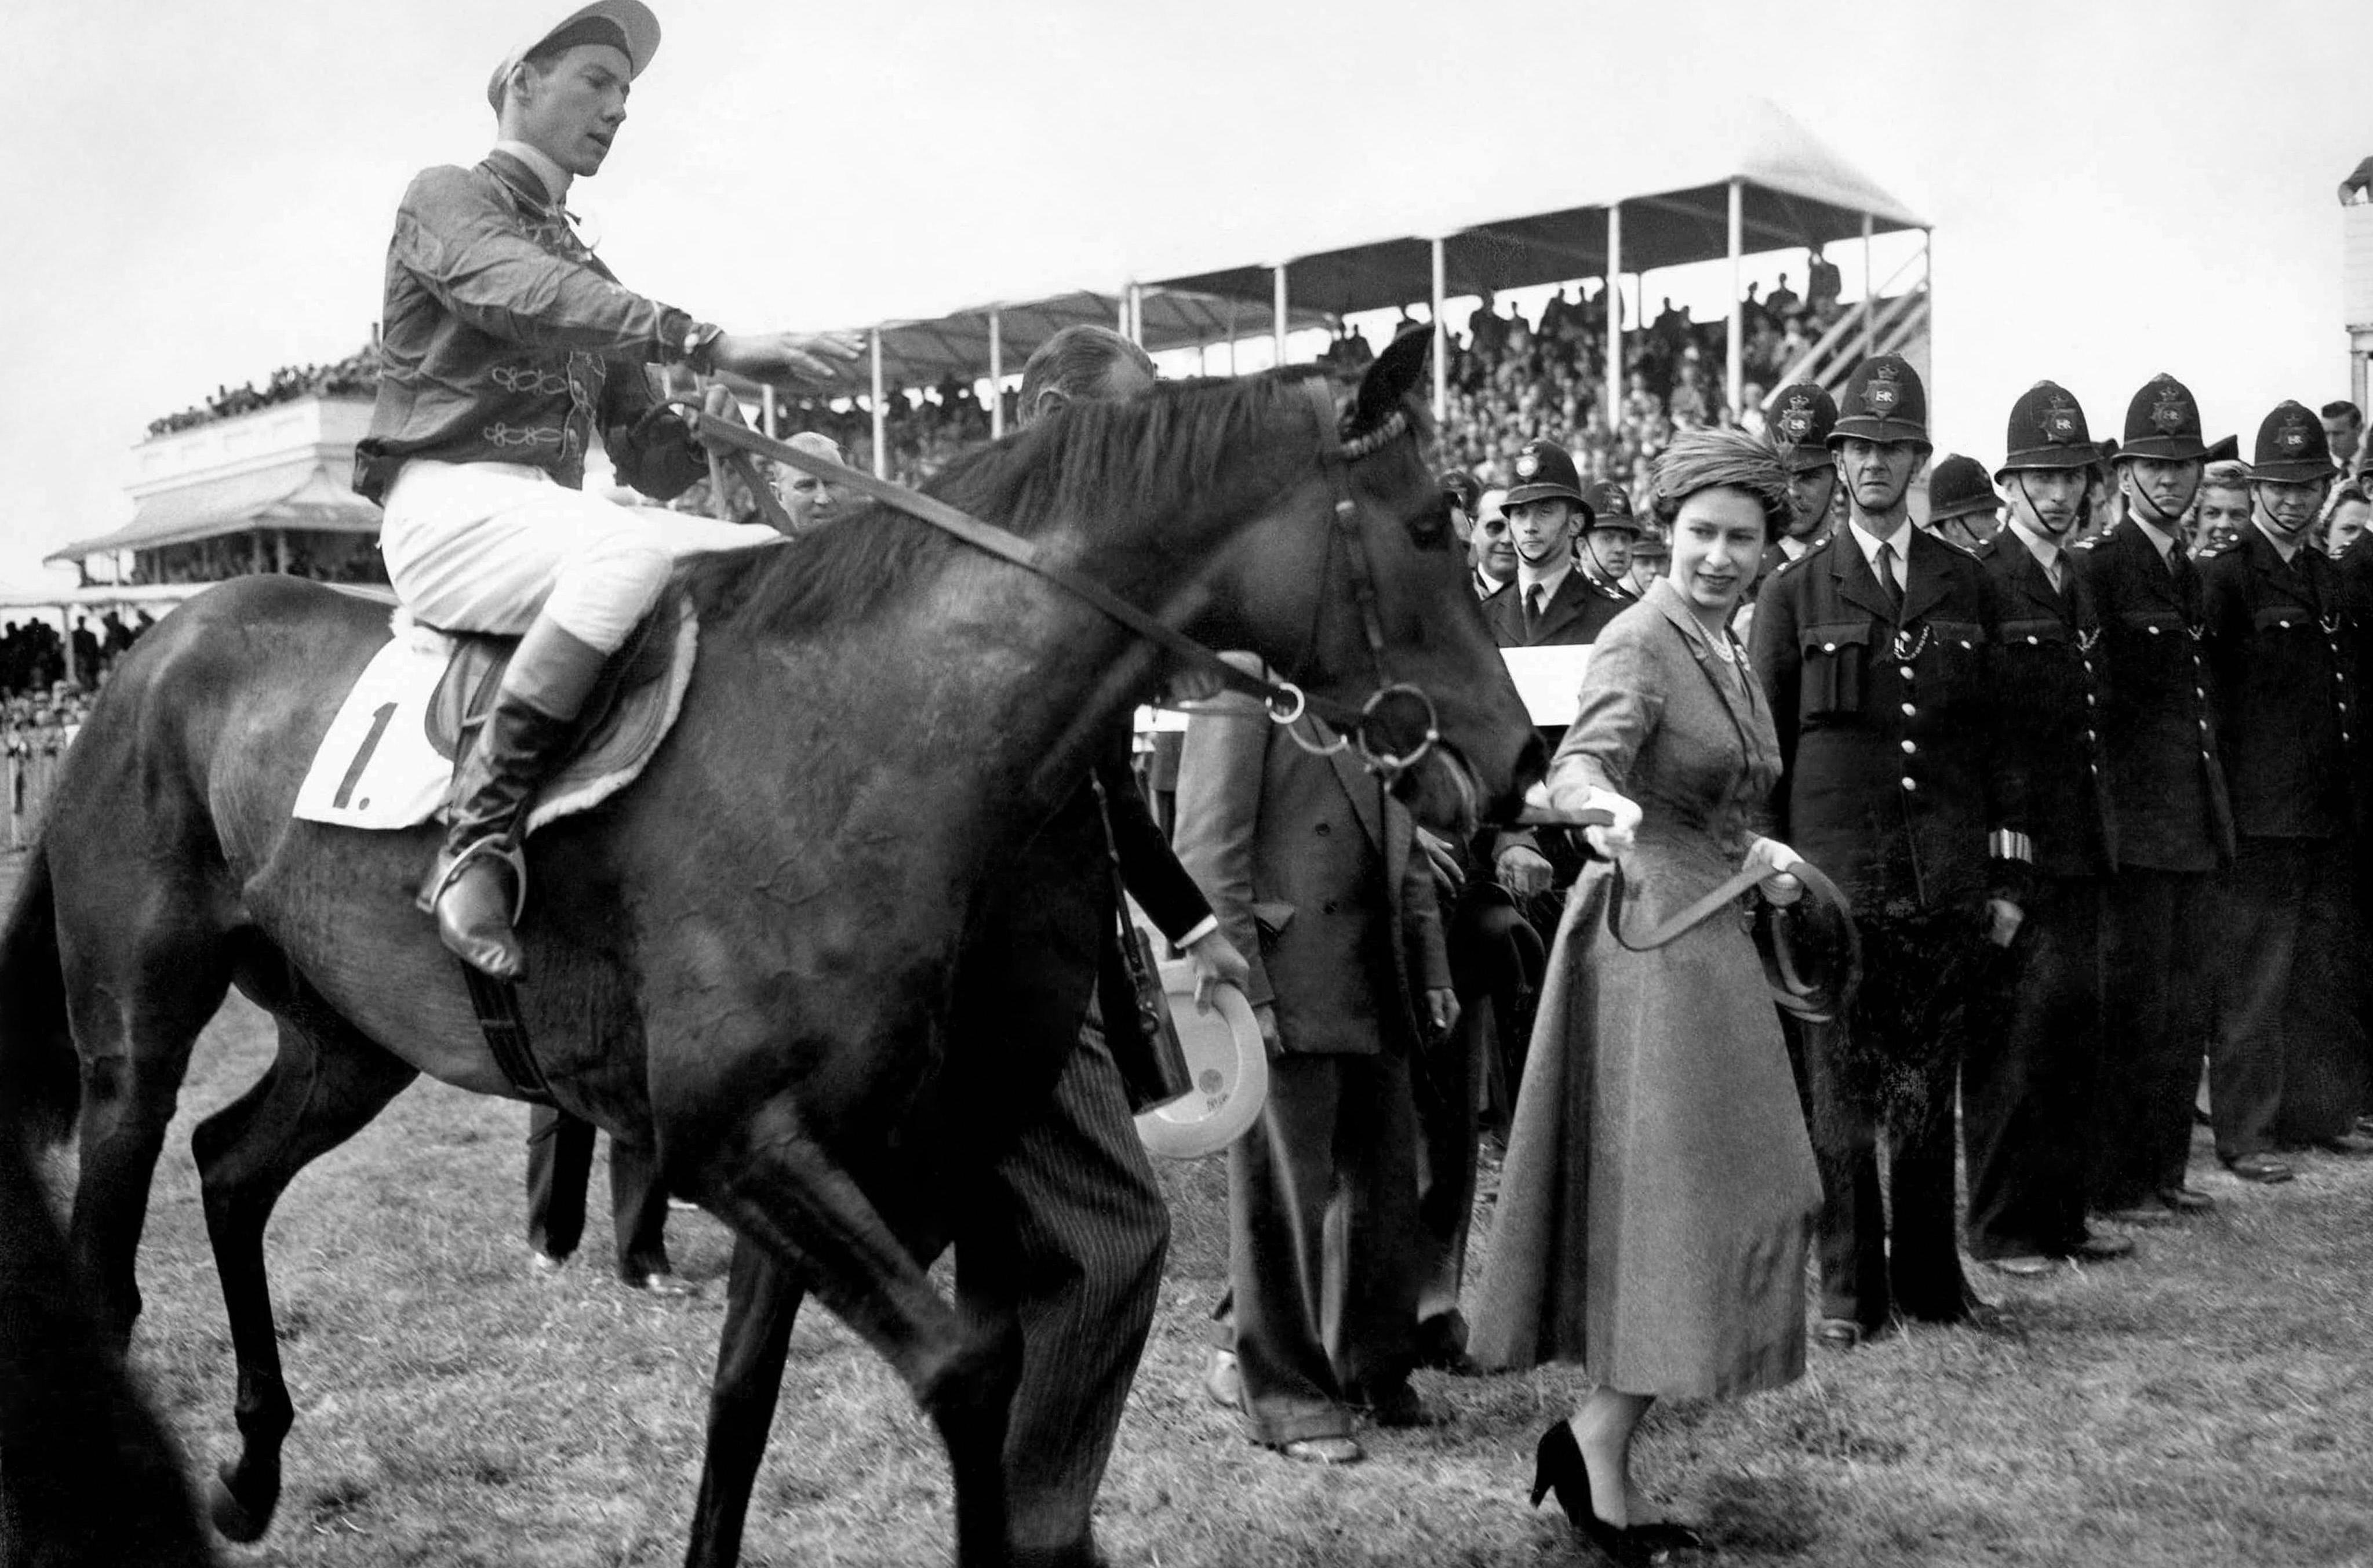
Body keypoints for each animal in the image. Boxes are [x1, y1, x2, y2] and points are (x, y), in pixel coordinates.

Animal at [0, 337, 1537, 1556]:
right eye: (1428, 525)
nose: (1520, 758)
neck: (861, 728)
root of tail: (155, 648)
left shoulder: (828, 1151)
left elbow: (742, 1410)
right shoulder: (735, 1141)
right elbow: (968, 1371)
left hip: (351, 1034)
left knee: (231, 1165)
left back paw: (251, 1472)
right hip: (133, 1035)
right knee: (116, 1253)